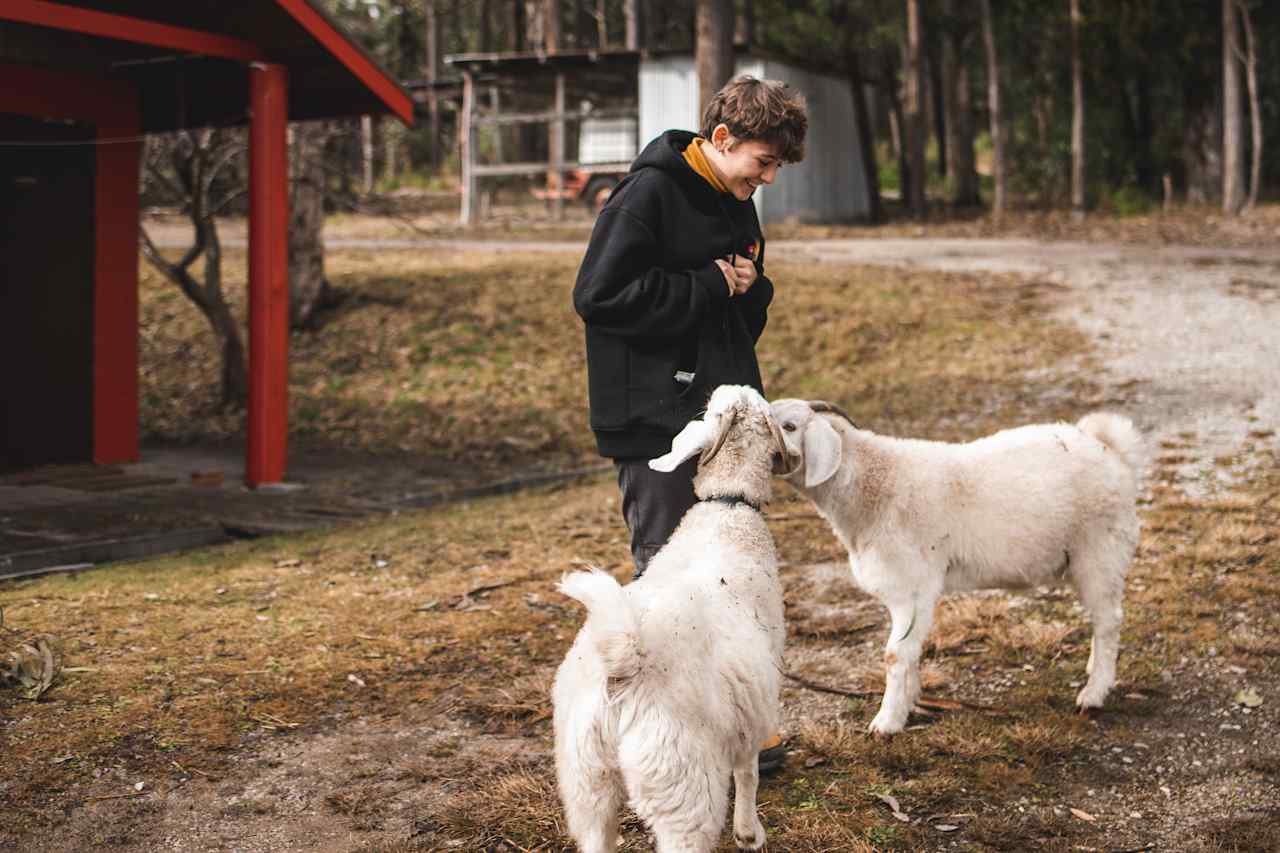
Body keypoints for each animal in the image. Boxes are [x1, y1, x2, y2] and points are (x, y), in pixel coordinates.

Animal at [768, 402, 1141, 732]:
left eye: (789, 426)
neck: (872, 483)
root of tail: (1110, 447)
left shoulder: (912, 588)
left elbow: (895, 655)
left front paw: (886, 723)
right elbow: (910, 652)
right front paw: (909, 703)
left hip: (1100, 549)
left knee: (1109, 620)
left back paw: (1094, 693)